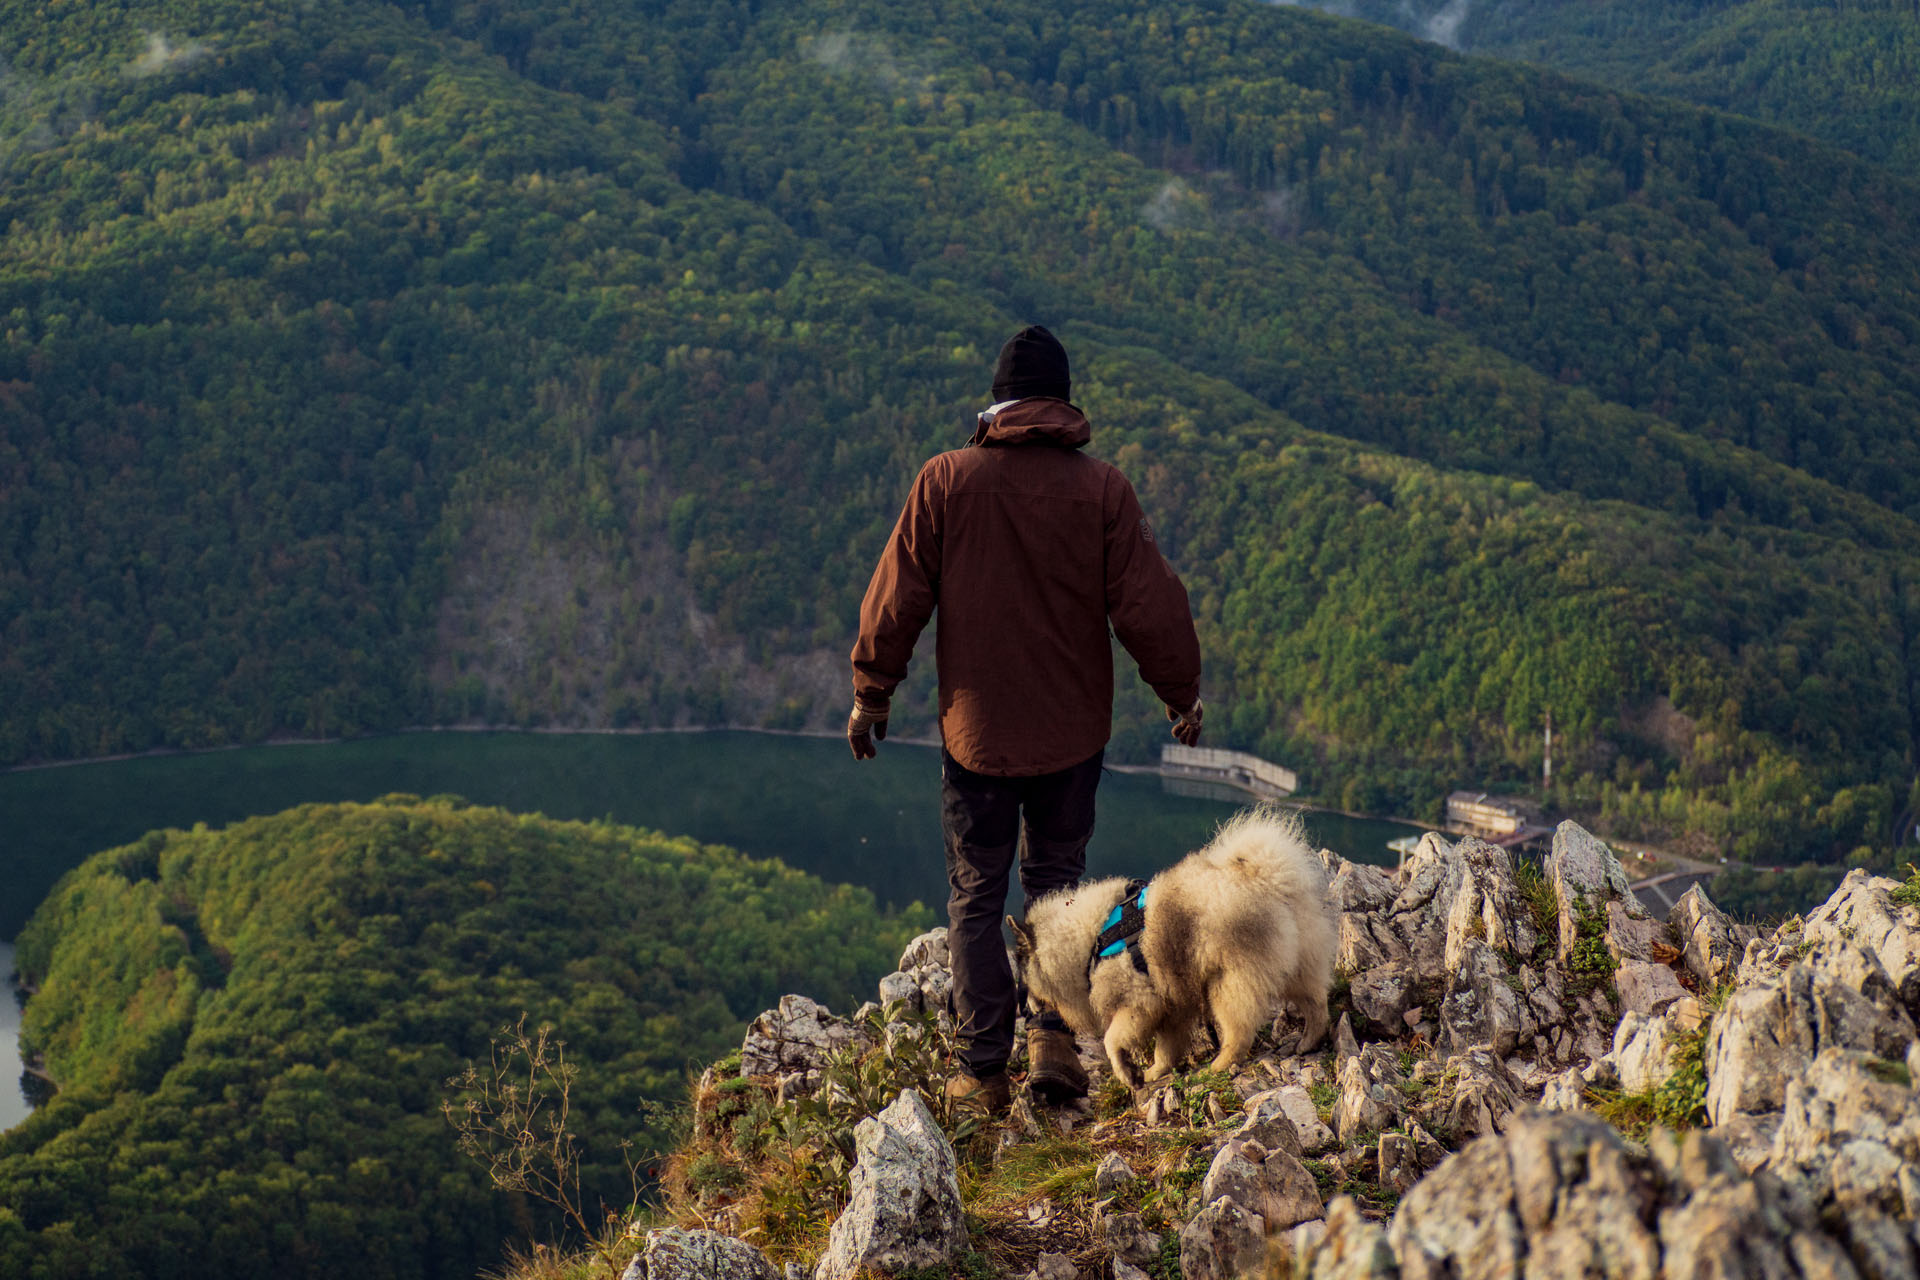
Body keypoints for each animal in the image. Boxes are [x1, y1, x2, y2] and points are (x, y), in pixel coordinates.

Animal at [1006, 809, 1336, 1090]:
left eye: (1025, 978)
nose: (1027, 1008)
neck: (1091, 940)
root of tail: (1267, 878)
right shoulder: (1171, 1006)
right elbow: (1166, 1047)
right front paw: (1156, 1071)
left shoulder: (1138, 1002)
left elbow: (1114, 1039)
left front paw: (1126, 1072)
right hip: (1298, 965)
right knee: (1316, 1002)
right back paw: (1309, 1041)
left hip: (1230, 981)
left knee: (1239, 1031)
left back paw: (1218, 1065)